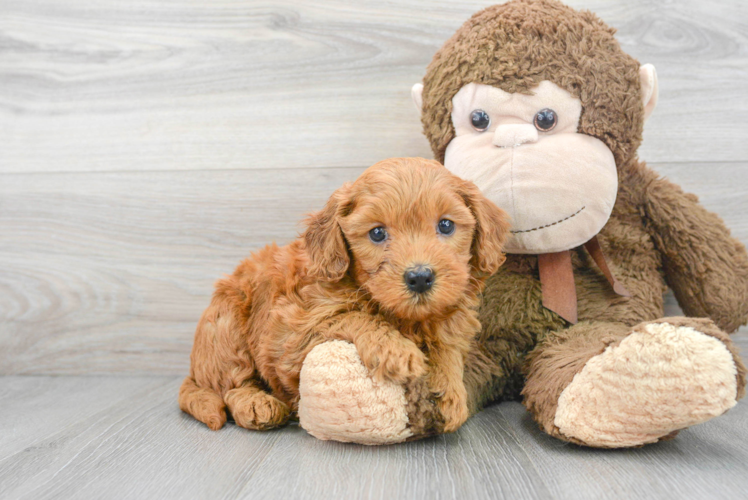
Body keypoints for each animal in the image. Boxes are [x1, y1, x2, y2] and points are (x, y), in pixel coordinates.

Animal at [178, 157, 512, 434]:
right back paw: (256, 403)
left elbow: (448, 347)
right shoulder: (291, 337)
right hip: (225, 326)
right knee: (231, 385)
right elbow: (354, 316)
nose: (419, 277)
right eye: (377, 233)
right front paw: (395, 350)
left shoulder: (452, 322)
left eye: (445, 225)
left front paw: (451, 391)